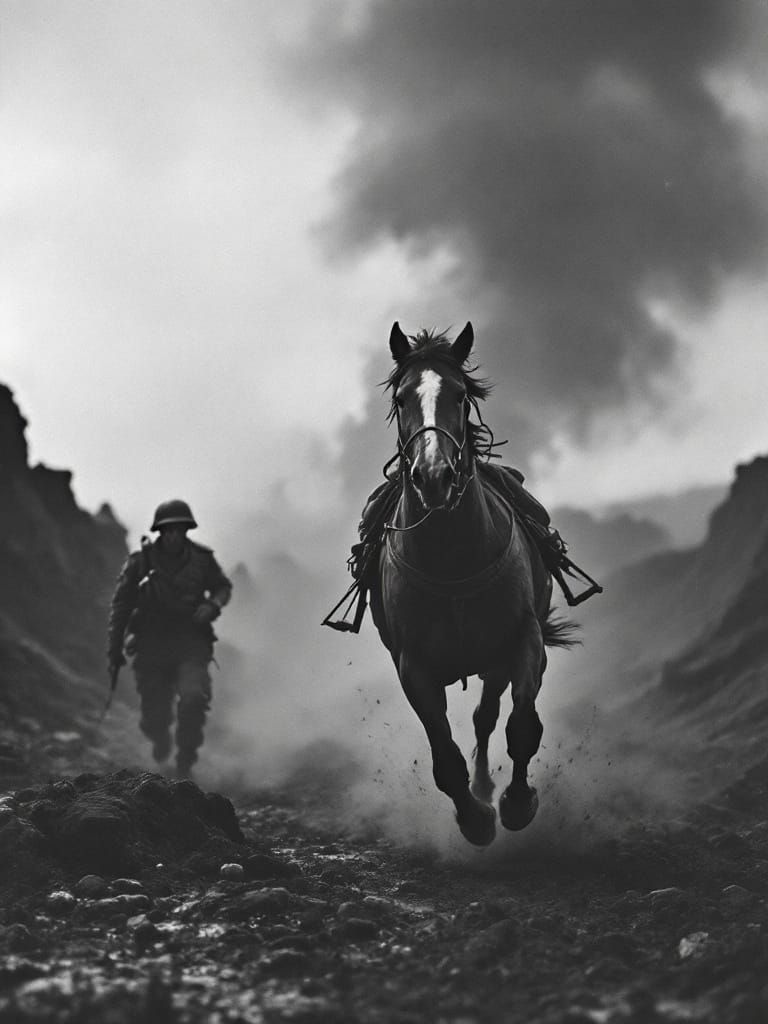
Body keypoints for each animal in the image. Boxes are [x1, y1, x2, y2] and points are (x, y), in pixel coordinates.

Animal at [368, 321, 577, 846]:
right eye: (401, 398)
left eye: (460, 395)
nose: (434, 476)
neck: (452, 558)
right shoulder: (414, 667)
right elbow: (445, 757)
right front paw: (476, 820)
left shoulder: (522, 640)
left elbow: (520, 727)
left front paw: (516, 804)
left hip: (495, 662)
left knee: (487, 717)